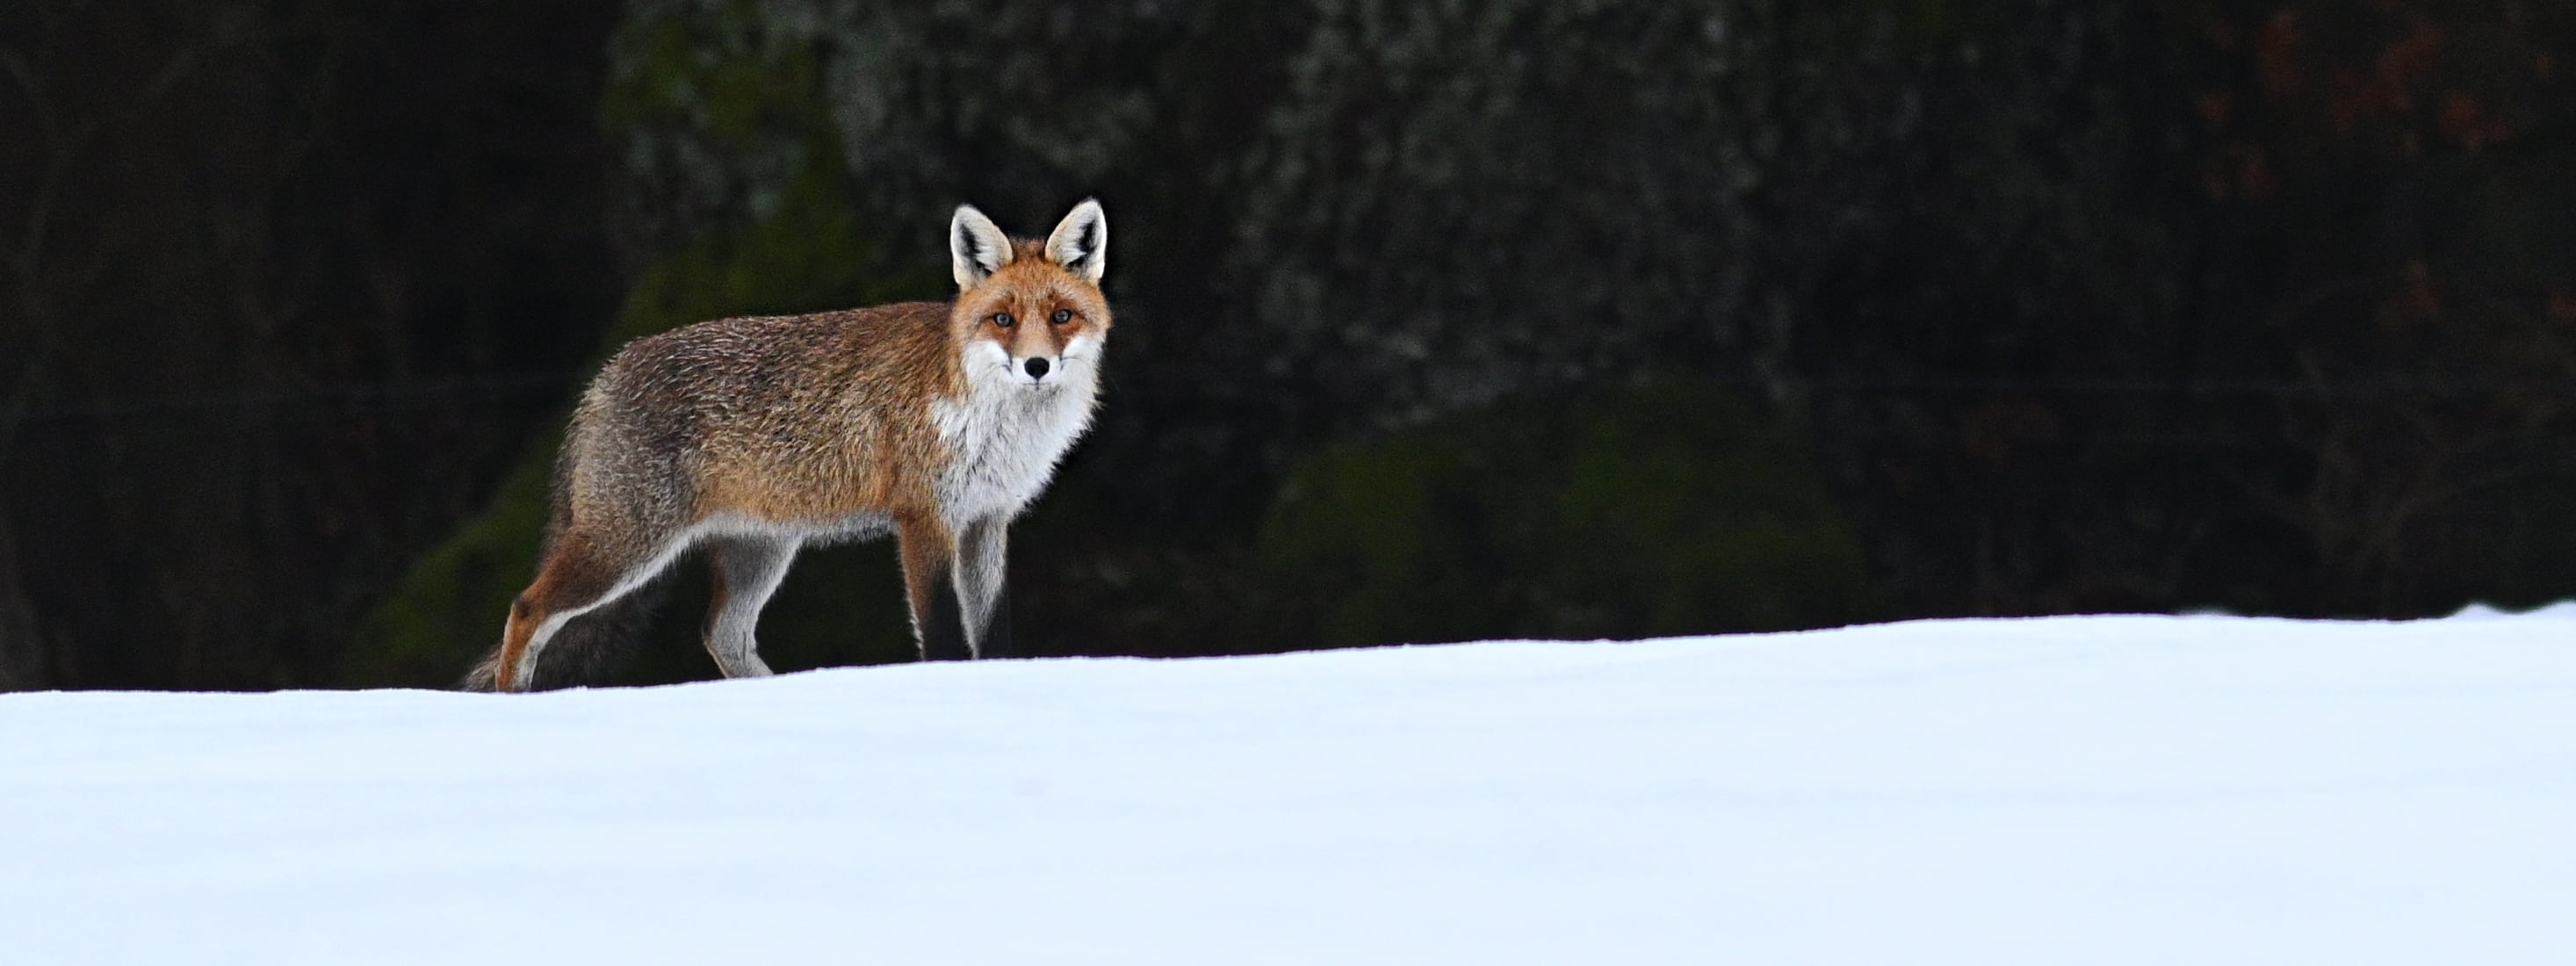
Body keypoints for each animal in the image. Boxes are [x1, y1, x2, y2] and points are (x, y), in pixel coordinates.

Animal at [466, 200, 1111, 692]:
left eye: (1061, 316)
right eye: (1003, 319)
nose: (1036, 366)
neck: (994, 422)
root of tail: (607, 373)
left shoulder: (987, 520)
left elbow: (993, 635)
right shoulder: (924, 519)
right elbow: (944, 635)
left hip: (760, 550)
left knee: (720, 633)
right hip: (627, 547)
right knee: (526, 609)